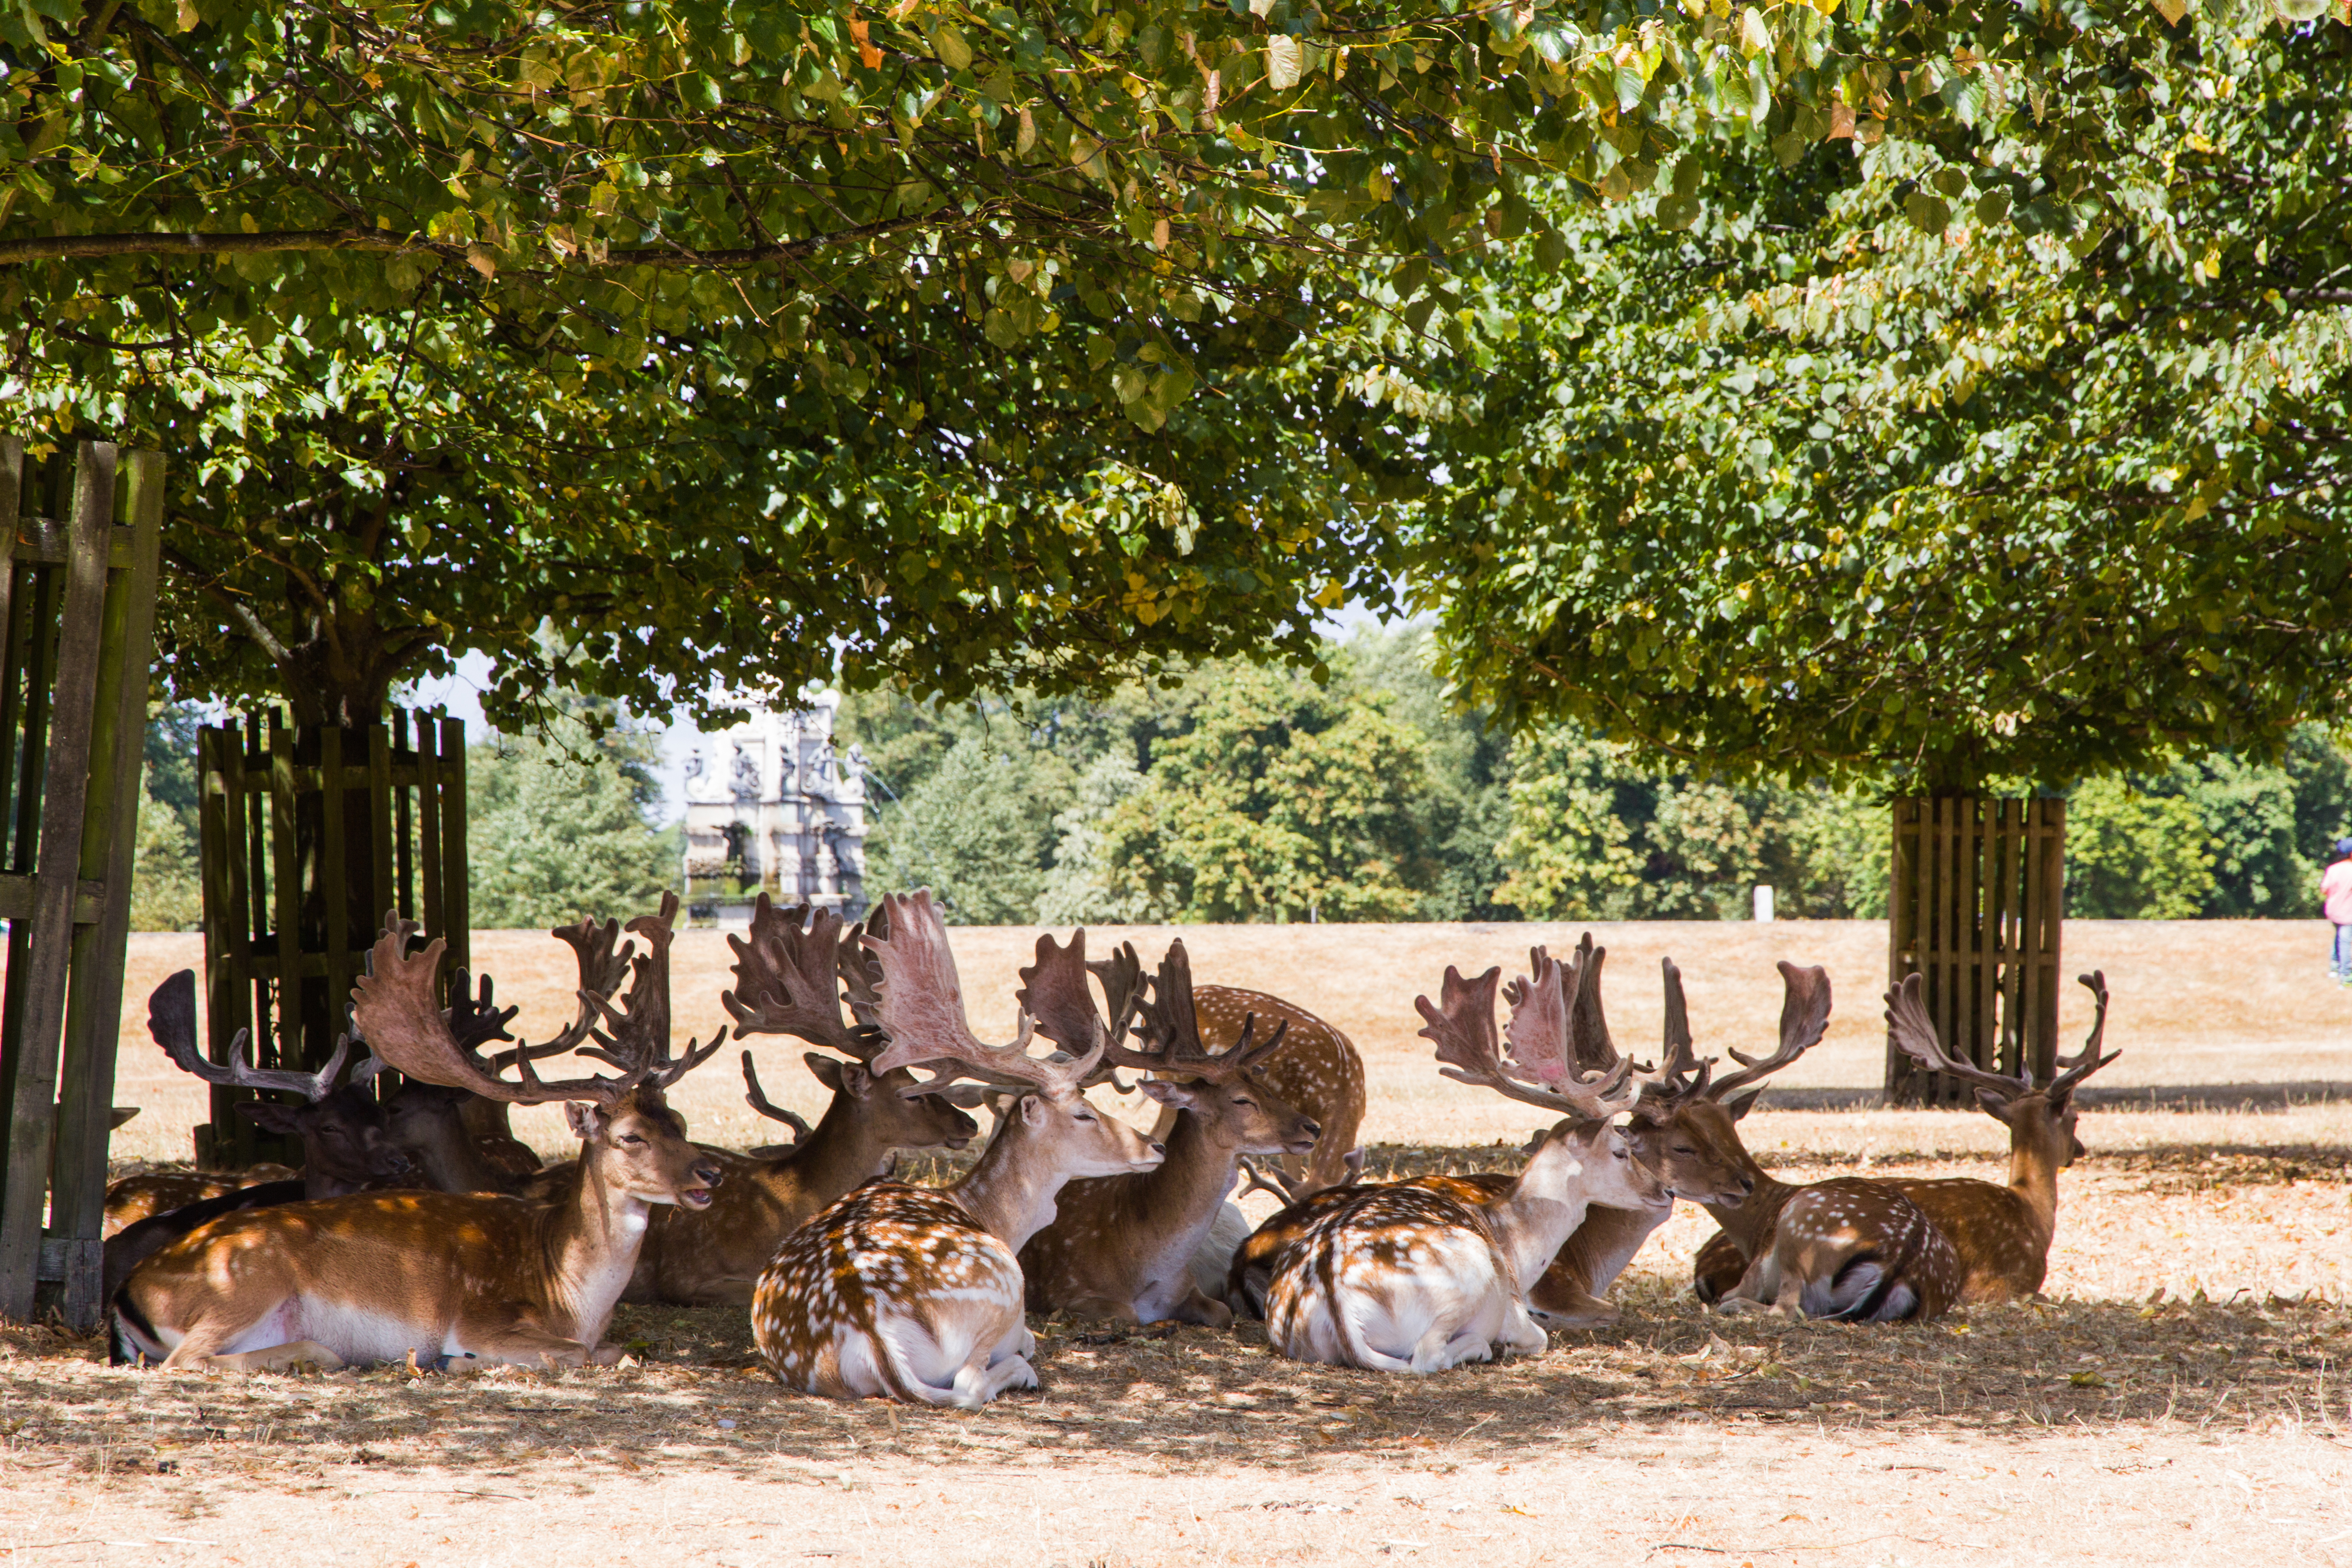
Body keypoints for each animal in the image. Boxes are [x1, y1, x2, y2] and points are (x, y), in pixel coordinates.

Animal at [114, 893, 720, 1372]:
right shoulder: (481, 1317)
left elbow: (616, 1350)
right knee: (186, 1359)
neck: (569, 1292)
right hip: (241, 1285)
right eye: (631, 1136)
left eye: (680, 1122)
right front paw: (458, 1360)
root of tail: (127, 1291)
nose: (709, 1171)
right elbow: (582, 1354)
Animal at [748, 888, 1161, 1420]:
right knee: (970, 1382)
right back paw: (1022, 1373)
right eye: (1084, 1113)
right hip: (1000, 1287)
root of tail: (870, 1326)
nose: (1155, 1145)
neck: (989, 1213)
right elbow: (1027, 1340)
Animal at [1016, 940, 1326, 1335]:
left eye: (1263, 1086)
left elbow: (1222, 1313)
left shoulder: (1192, 1289)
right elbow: (1127, 1315)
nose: (1312, 1127)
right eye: (1242, 1099)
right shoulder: (1067, 1291)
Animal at [1251, 959, 1656, 1372]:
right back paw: (1484, 1347)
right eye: (1621, 1150)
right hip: (1468, 1280)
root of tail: (1338, 1300)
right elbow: (1540, 1337)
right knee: (1428, 1355)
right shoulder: (1515, 1309)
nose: (1661, 1189)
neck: (1517, 1249)